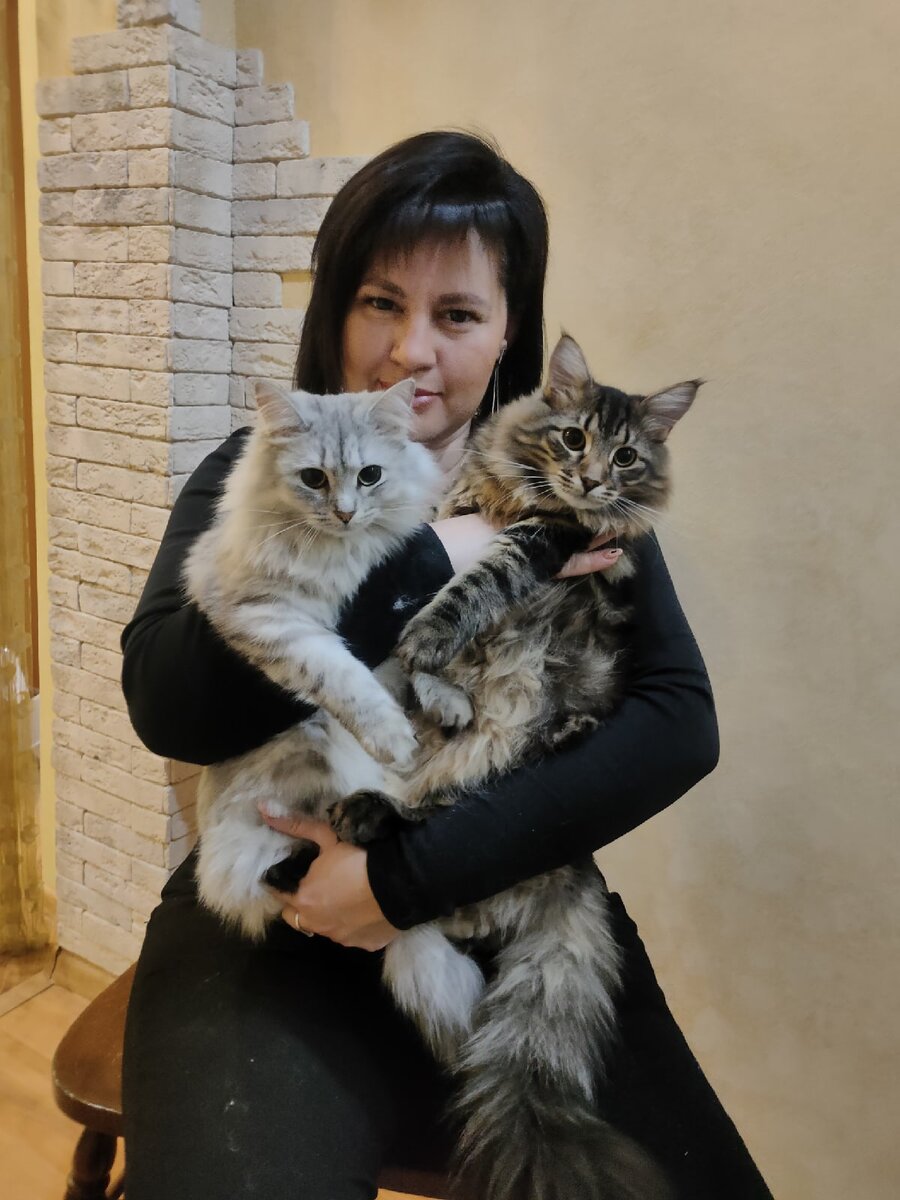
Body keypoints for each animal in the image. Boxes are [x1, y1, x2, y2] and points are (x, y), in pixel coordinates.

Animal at [183, 378, 441, 938]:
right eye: (312, 479)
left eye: (370, 475)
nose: (345, 513)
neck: (332, 551)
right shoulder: (268, 616)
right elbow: (340, 675)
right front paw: (393, 738)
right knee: (274, 871)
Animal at [331, 334, 700, 1200]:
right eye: (573, 438)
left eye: (627, 457)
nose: (592, 479)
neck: (514, 482)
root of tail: (574, 869)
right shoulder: (463, 509)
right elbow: (431, 558)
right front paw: (431, 680)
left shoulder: (547, 542)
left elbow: (467, 589)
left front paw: (429, 643)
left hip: (515, 763)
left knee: (442, 861)